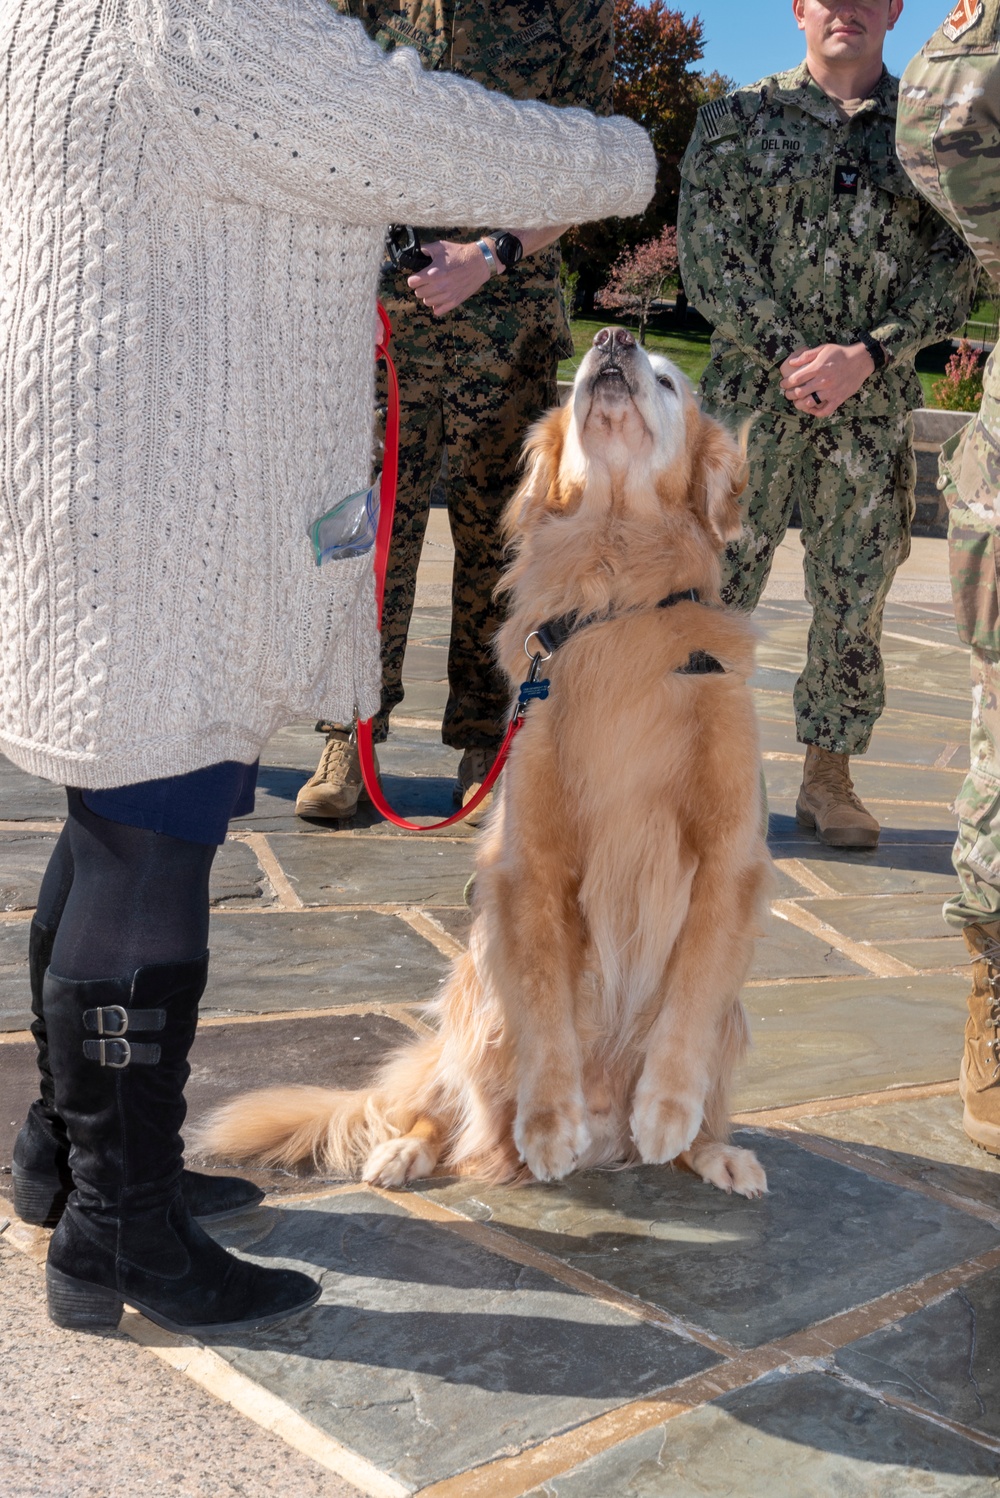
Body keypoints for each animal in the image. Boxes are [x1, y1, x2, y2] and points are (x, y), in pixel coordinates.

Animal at [203, 328, 772, 1192]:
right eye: (596, 369)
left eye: (671, 381)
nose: (612, 337)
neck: (617, 597)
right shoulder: (529, 861)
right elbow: (546, 1003)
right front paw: (549, 1124)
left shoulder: (727, 858)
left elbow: (694, 990)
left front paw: (667, 1110)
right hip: (473, 993)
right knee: (441, 1108)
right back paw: (410, 1151)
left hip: (732, 1028)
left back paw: (712, 1150)